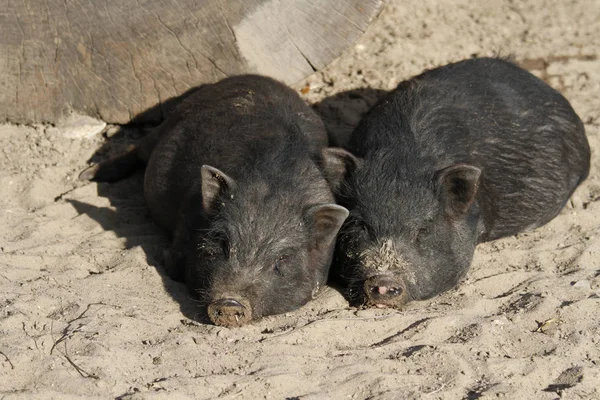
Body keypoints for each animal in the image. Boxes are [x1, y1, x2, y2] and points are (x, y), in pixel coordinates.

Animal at [82, 76, 350, 328]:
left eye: (282, 258)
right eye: (223, 243)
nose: (230, 302)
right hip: (167, 125)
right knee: (137, 149)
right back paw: (86, 174)